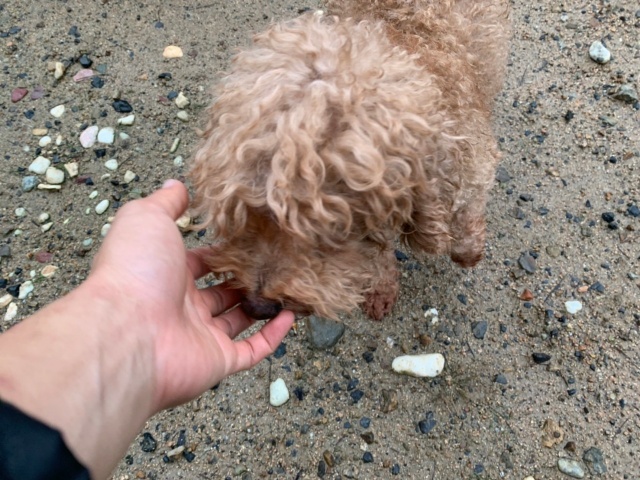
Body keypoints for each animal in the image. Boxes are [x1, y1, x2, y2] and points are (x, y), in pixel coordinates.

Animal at [189, 0, 510, 321]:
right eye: (246, 214)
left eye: (328, 231)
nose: (257, 307)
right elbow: (377, 255)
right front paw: (380, 289)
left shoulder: (473, 167)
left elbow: (467, 214)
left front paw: (468, 252)